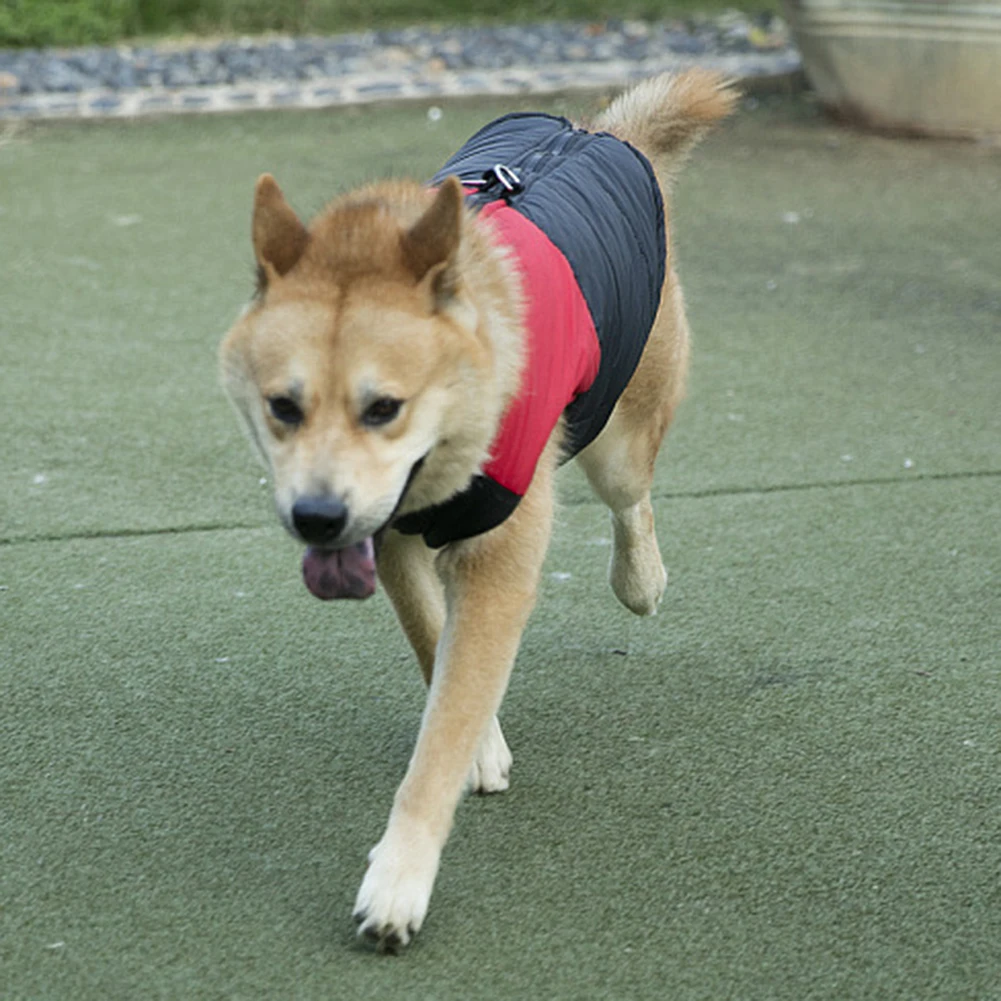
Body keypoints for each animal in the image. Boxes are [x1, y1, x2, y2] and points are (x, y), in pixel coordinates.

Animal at [219, 68, 736, 944]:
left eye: (383, 408)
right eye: (282, 407)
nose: (317, 517)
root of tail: (599, 133)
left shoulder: (499, 559)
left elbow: (445, 724)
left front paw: (398, 878)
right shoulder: (391, 540)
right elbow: (438, 652)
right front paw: (482, 747)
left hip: (617, 437)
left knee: (632, 500)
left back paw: (641, 580)